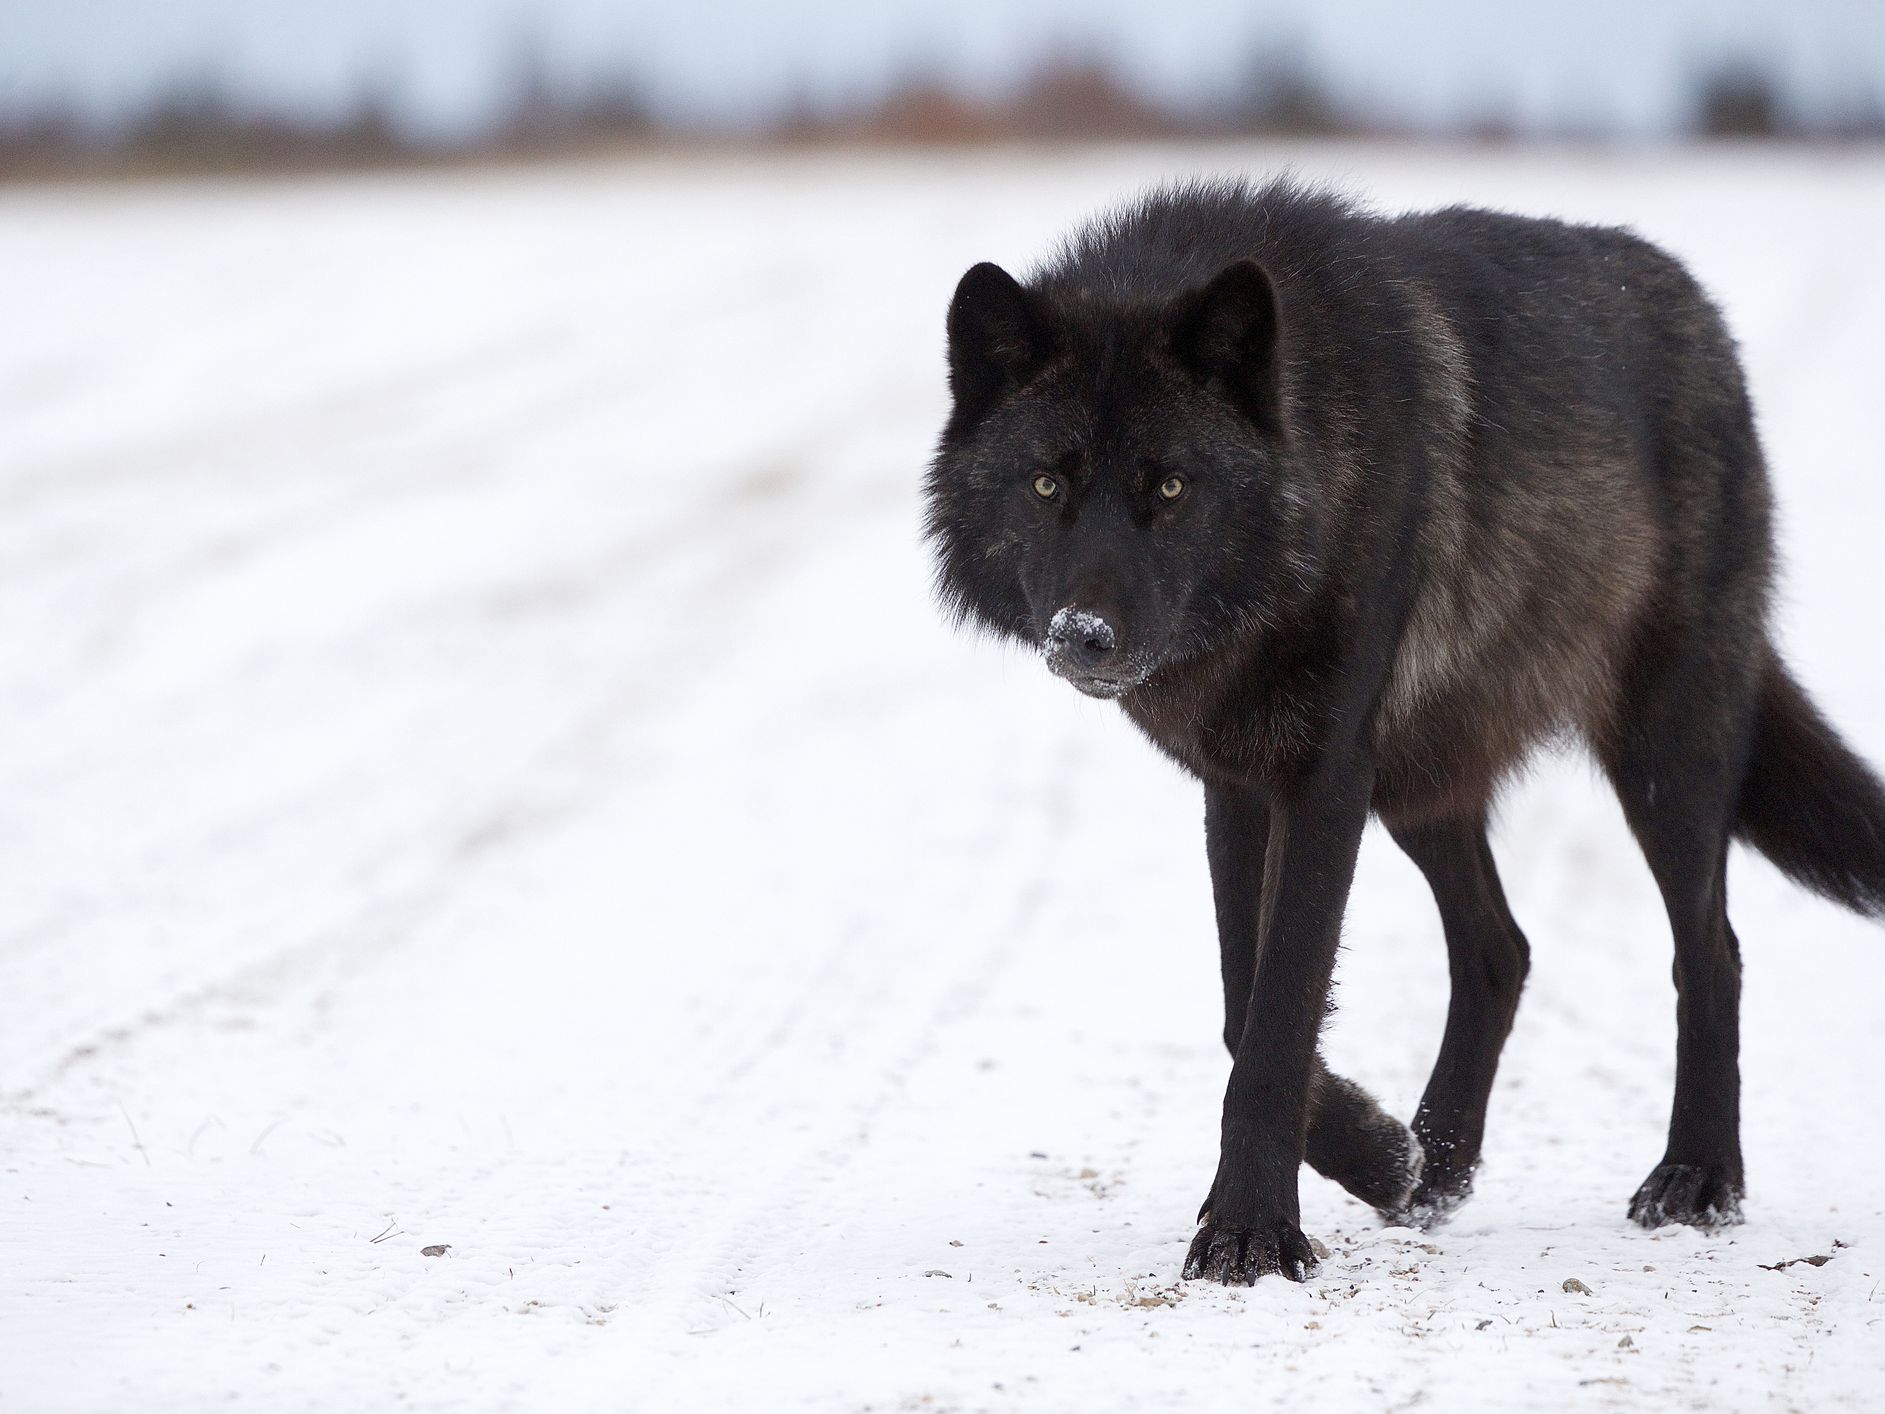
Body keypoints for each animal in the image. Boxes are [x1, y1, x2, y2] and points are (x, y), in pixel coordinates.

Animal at [923, 177, 1885, 1285]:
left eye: (1168, 486)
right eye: (1047, 484)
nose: (1085, 636)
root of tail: (1697, 310)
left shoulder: (1324, 775)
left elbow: (1276, 1014)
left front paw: (1252, 1232)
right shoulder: (1241, 780)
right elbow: (1242, 1004)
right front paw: (1382, 1157)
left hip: (1661, 756)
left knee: (1710, 951)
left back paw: (1696, 1179)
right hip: (1422, 784)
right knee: (1500, 950)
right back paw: (1436, 1169)